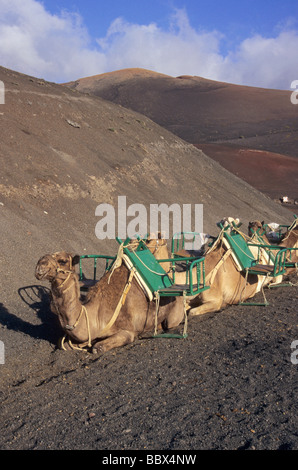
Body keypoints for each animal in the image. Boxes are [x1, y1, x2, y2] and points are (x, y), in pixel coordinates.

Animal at [35, 250, 186, 352]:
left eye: (62, 261)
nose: (39, 266)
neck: (95, 314)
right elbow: (64, 344)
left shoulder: (127, 330)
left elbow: (98, 347)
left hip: (174, 311)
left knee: (171, 323)